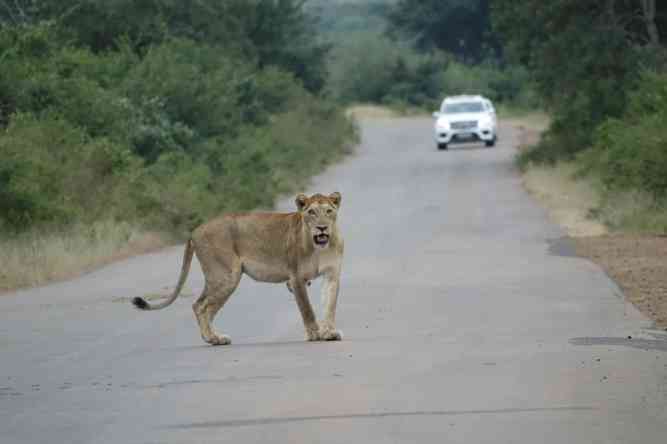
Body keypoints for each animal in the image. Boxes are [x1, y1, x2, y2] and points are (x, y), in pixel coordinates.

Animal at [132, 192, 344, 345]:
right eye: (311, 212)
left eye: (328, 211)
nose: (322, 228)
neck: (319, 247)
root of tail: (195, 230)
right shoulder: (296, 278)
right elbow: (307, 310)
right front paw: (315, 334)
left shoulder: (332, 274)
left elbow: (330, 305)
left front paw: (329, 332)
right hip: (226, 275)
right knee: (200, 306)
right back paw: (214, 339)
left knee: (202, 306)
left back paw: (213, 338)